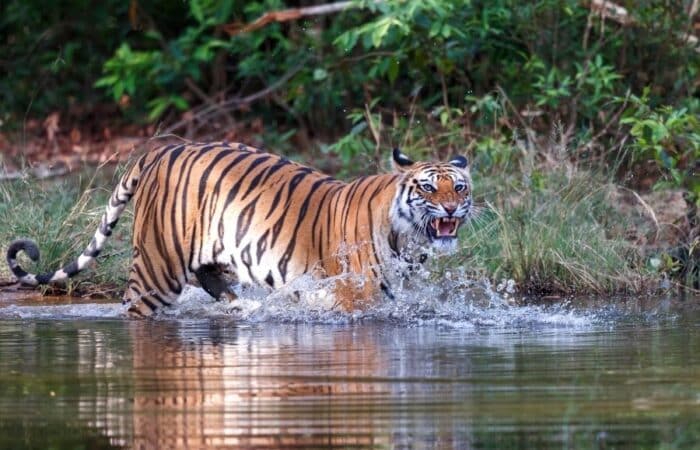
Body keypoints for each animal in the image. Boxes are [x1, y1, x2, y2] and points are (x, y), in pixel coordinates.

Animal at [6, 141, 472, 316]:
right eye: (428, 188)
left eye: (460, 186)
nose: (451, 207)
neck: (409, 238)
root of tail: (164, 148)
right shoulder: (355, 293)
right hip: (156, 266)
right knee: (137, 306)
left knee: (215, 282)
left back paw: (240, 307)